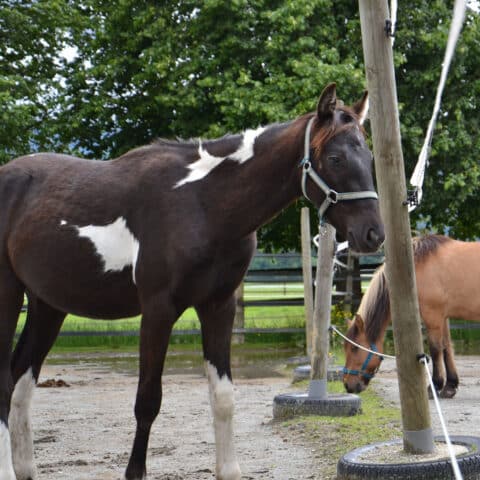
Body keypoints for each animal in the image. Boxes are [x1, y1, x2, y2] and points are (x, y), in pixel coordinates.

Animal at [0, 85, 382, 480]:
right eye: (335, 158)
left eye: (368, 155)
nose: (373, 234)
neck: (204, 204)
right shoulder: (158, 310)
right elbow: (148, 399)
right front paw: (135, 471)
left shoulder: (219, 306)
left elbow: (224, 396)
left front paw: (228, 469)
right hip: (9, 295)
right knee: (4, 382)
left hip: (48, 305)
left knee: (20, 381)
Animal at [342, 235, 480, 398]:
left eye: (354, 348)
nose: (347, 384)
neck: (416, 266)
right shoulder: (443, 318)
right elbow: (446, 348)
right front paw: (450, 386)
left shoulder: (433, 317)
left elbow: (435, 350)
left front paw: (434, 386)